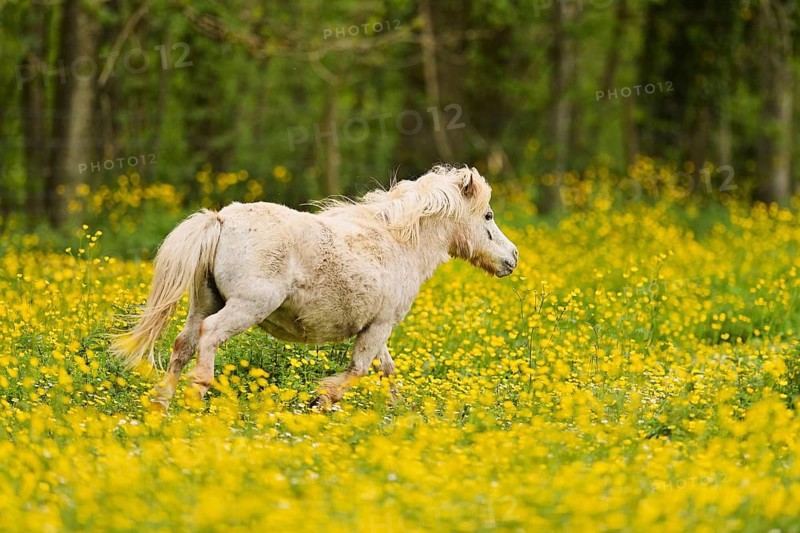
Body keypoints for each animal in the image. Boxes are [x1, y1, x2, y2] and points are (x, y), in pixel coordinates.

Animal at [111, 165, 518, 410]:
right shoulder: (381, 325)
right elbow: (358, 370)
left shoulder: (377, 328)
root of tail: (220, 219)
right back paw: (197, 395)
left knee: (183, 344)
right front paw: (321, 399)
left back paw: (161, 405)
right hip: (246, 307)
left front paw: (397, 409)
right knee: (209, 337)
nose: (512, 258)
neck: (399, 242)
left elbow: (386, 369)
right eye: (488, 215)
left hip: (204, 303)